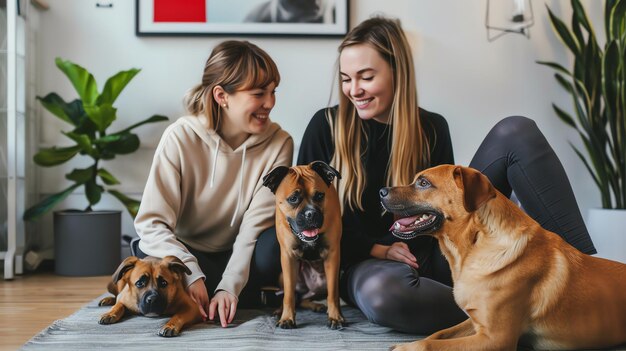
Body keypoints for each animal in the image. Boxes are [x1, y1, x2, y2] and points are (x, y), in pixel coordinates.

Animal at [260, 162, 344, 330]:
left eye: (319, 196)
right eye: (293, 199)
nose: (310, 214)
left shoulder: (332, 256)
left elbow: (333, 293)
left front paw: (335, 317)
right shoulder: (288, 258)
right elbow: (288, 295)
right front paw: (287, 318)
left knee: (307, 298)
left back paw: (317, 306)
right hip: (283, 275)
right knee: (294, 296)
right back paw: (280, 310)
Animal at [376, 166, 624, 351]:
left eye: (423, 183)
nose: (380, 191)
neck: (475, 242)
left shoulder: (495, 338)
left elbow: (429, 346)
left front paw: (405, 347)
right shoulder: (476, 322)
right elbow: (437, 335)